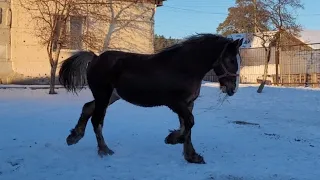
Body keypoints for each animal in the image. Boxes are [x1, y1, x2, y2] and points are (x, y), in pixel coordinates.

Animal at [58, 33, 242, 165]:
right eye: (231, 60)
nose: (232, 89)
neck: (184, 68)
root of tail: (95, 58)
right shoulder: (175, 103)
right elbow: (189, 123)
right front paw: (173, 139)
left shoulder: (189, 103)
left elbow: (187, 126)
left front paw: (191, 156)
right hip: (103, 94)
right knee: (97, 119)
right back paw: (104, 150)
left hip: (111, 96)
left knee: (88, 108)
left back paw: (74, 136)